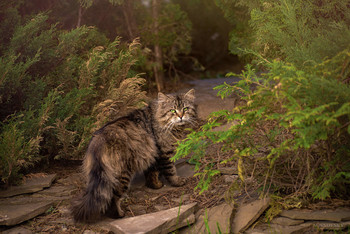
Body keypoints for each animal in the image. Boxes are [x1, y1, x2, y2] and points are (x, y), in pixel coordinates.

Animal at [71, 89, 197, 223]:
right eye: (173, 110)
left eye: (185, 108)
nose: (181, 116)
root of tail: (98, 141)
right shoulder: (165, 152)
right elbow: (170, 171)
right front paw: (177, 182)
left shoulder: (152, 154)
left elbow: (152, 173)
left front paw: (155, 185)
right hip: (122, 174)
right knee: (113, 198)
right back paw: (119, 214)